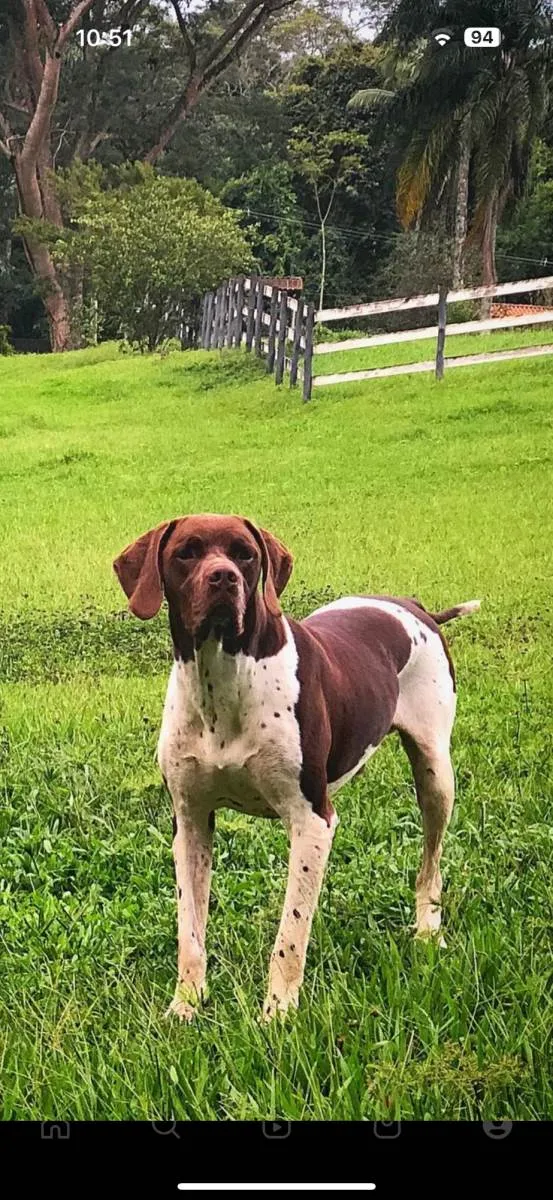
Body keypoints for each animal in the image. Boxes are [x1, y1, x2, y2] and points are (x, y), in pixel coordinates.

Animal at [113, 516, 477, 1022]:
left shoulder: (312, 821)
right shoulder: (190, 822)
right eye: (186, 552)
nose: (223, 578)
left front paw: (277, 1014)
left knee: (431, 863)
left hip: (435, 774)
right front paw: (186, 1005)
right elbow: (190, 932)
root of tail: (417, 609)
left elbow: (290, 933)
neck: (224, 676)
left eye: (245, 554)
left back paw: (427, 930)